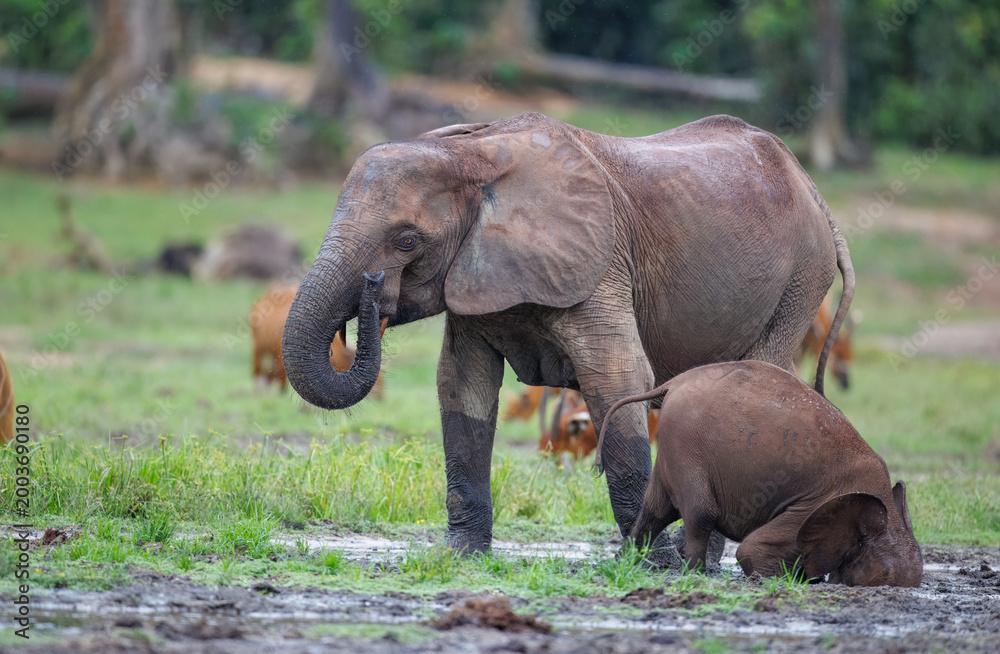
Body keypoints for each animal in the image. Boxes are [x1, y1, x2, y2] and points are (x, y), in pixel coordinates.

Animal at [281, 112, 854, 554]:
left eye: (406, 241)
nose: (372, 290)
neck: (472, 153)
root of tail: (810, 184)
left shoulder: (599, 267)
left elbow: (616, 379)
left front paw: (649, 563)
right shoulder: (476, 276)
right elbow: (462, 386)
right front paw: (460, 556)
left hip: (801, 280)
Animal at [600, 360, 921, 587]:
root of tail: (672, 383)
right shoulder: (815, 504)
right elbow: (751, 550)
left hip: (674, 443)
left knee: (656, 509)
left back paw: (623, 562)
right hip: (686, 442)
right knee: (701, 513)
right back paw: (695, 574)